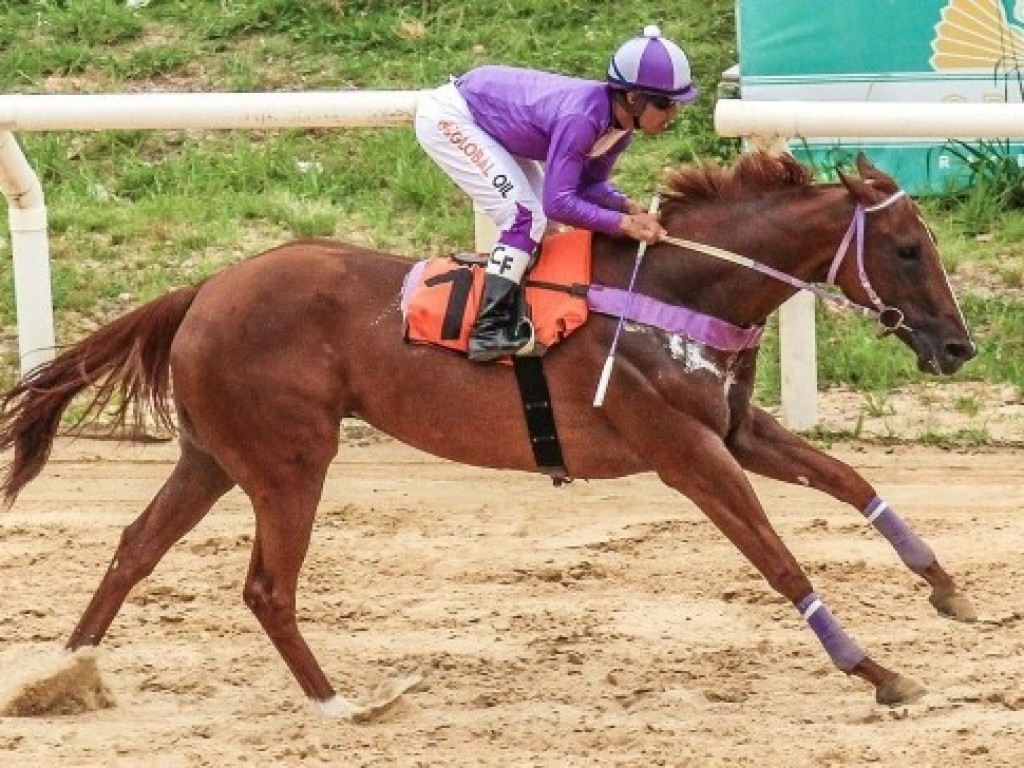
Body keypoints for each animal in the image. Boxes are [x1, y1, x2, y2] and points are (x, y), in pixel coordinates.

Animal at [0, 153, 974, 720]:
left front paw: (947, 588)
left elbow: (852, 481)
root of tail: (204, 287)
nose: (959, 345)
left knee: (135, 548)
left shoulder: (734, 429)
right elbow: (779, 560)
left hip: (213, 456)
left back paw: (63, 675)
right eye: (907, 250)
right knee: (266, 588)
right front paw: (877, 670)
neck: (678, 289)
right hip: (289, 461)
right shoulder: (687, 456)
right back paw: (341, 705)